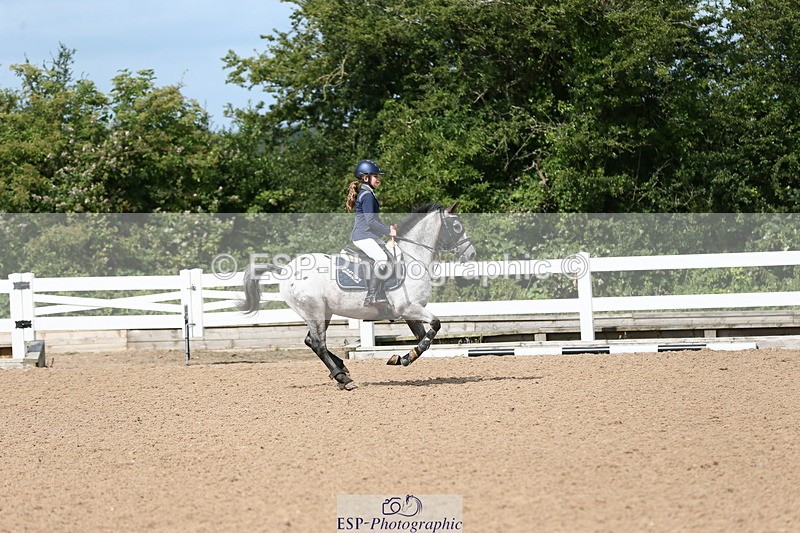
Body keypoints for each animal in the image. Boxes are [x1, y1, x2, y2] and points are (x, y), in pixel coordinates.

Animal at [237, 202, 476, 390]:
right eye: (457, 226)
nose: (472, 254)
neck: (412, 258)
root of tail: (286, 270)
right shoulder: (408, 308)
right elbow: (435, 325)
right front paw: (404, 358)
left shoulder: (411, 313)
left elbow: (423, 338)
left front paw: (403, 358)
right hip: (315, 310)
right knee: (318, 343)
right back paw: (344, 379)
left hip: (323, 313)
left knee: (310, 340)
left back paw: (342, 369)